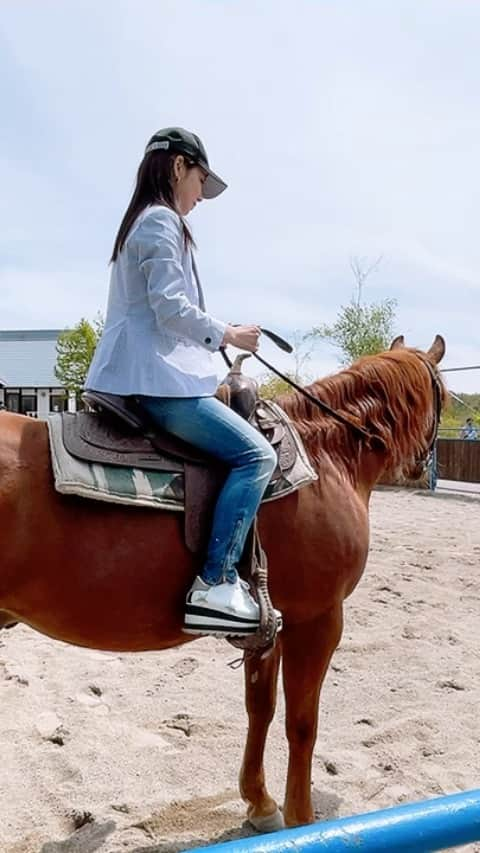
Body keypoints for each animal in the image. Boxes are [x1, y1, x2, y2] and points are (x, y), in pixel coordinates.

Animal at [0, 336, 446, 828]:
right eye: (443, 395)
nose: (422, 467)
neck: (327, 457)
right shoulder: (319, 619)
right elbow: (302, 723)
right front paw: (301, 817)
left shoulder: (272, 624)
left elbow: (261, 708)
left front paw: (261, 803)